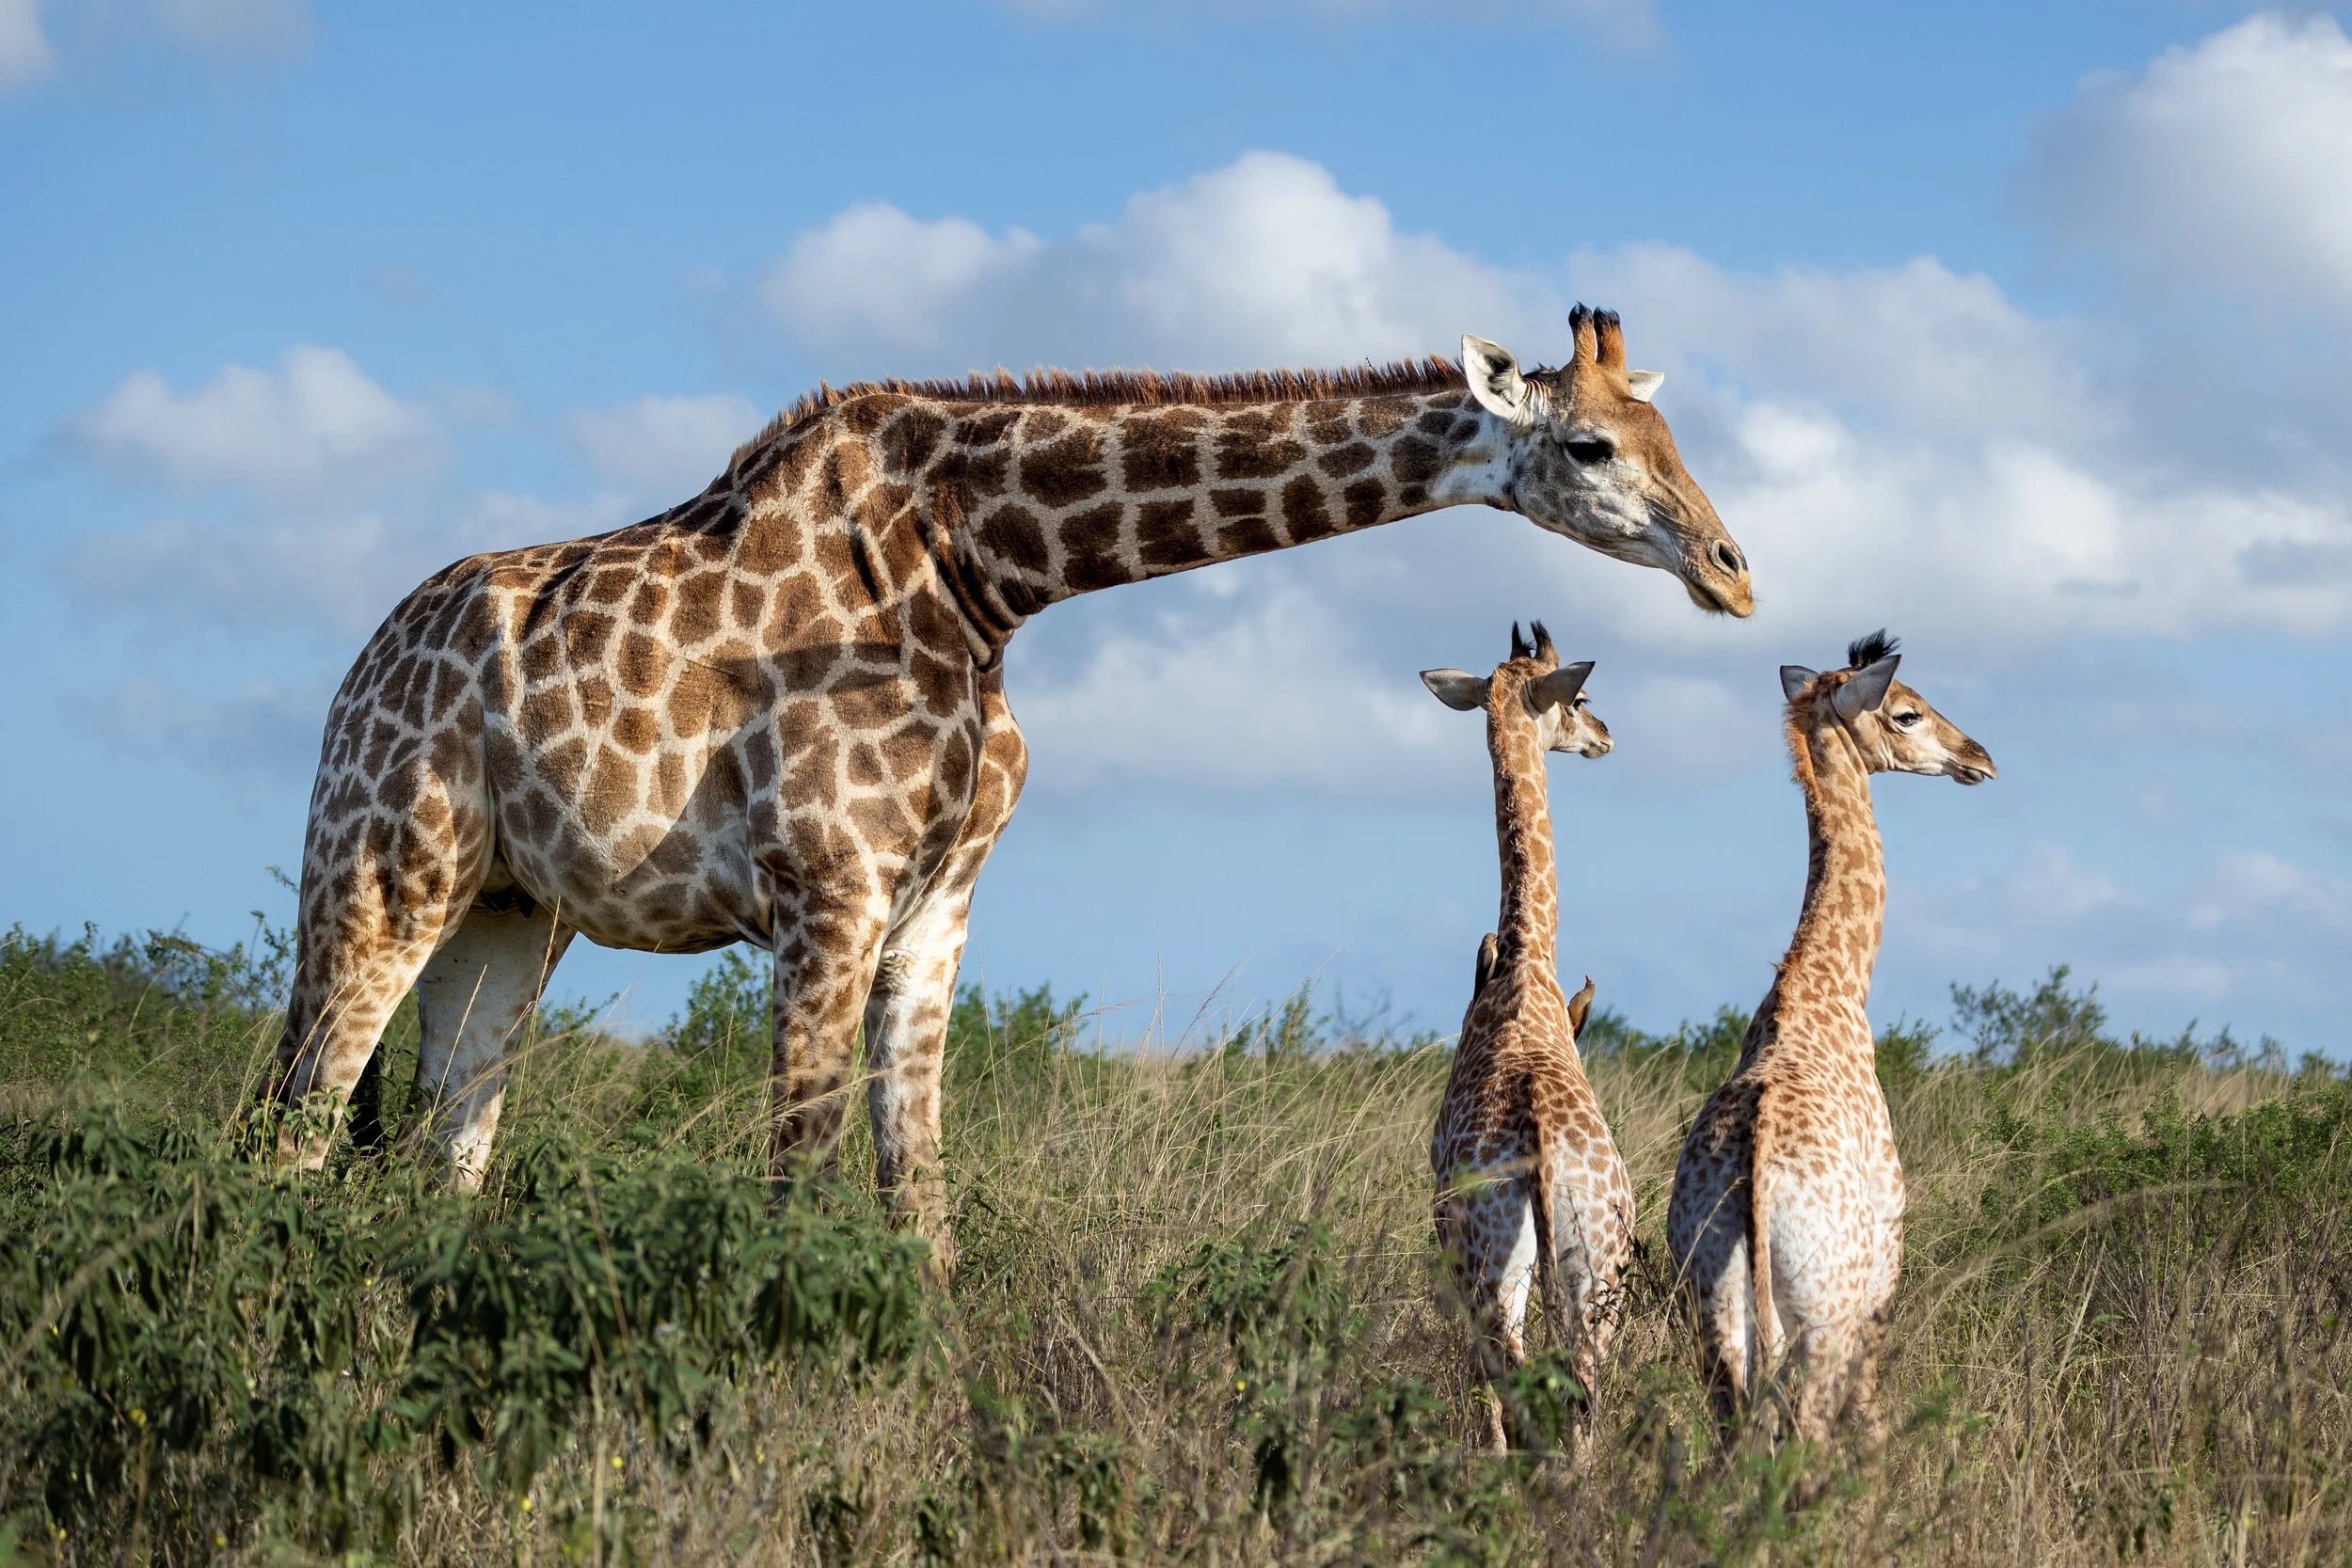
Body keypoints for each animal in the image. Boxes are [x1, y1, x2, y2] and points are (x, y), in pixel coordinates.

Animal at [267, 305, 1750, 1274]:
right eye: (1594, 448)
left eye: (1667, 427)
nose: (1732, 570)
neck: (985, 573)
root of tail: (361, 662)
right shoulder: (829, 894)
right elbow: (797, 1181)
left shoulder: (936, 906)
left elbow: (917, 1199)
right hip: (376, 869)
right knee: (293, 1124)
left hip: (512, 911)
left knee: (447, 1143)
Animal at [1422, 622, 1636, 1453]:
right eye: (1577, 699)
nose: (1606, 736)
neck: (1526, 958)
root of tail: (1547, 1153)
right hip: (1594, 1270)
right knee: (1577, 1385)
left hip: (1497, 1262)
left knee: (1519, 1374)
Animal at [1666, 632, 1994, 1443]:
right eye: (1907, 712)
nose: (1979, 757)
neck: (1835, 983)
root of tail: (1753, 1176)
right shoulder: (1883, 1269)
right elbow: (1868, 1416)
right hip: (1823, 1312)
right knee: (1809, 1434)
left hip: (1710, 1312)